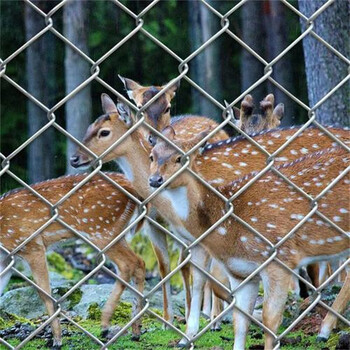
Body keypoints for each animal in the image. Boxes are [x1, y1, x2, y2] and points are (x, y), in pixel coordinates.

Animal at [0, 174, 145, 348]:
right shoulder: (6, 259)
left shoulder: (32, 245)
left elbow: (44, 293)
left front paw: (57, 339)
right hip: (115, 232)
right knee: (139, 263)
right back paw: (135, 330)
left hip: (101, 229)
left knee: (127, 264)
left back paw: (105, 325)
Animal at [148, 127, 350, 348]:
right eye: (152, 156)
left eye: (180, 158)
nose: (155, 179)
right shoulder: (240, 273)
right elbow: (240, 321)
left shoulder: (280, 258)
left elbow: (270, 319)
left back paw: (324, 331)